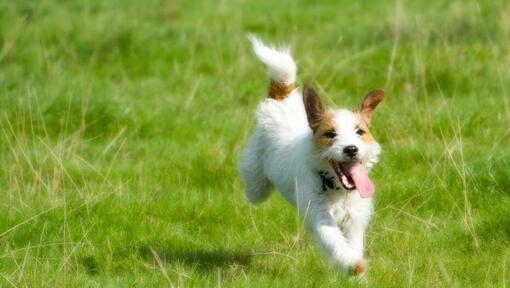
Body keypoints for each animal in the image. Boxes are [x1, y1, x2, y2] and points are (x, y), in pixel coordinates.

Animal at [238, 36, 382, 276]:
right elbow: (334, 241)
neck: (335, 188)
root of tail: (281, 97)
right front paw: (352, 264)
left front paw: (357, 268)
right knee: (253, 187)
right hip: (256, 182)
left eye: (359, 131)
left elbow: (353, 242)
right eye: (330, 134)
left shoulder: (354, 217)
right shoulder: (319, 214)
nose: (351, 149)